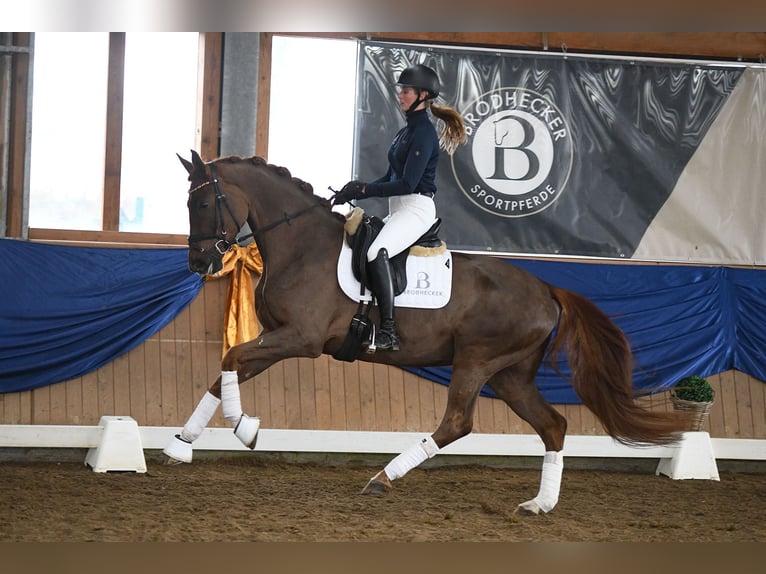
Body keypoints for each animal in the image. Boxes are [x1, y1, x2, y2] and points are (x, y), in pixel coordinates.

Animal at [165, 150, 692, 516]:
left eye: (205, 201)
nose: (199, 262)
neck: (301, 245)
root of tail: (546, 288)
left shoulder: (301, 339)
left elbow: (231, 359)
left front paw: (246, 429)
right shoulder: (278, 337)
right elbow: (225, 372)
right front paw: (180, 444)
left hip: (476, 361)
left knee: (458, 422)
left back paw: (383, 477)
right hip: (510, 376)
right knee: (553, 425)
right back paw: (539, 504)